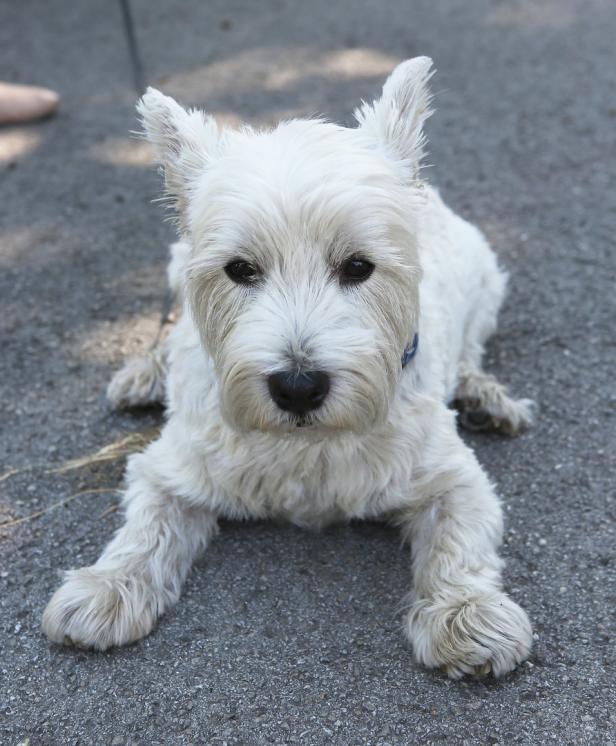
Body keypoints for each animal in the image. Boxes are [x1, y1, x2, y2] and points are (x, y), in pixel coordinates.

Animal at [42, 56, 536, 676]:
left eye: (358, 266)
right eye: (239, 268)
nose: (298, 388)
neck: (307, 446)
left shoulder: (453, 477)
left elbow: (460, 541)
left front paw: (467, 613)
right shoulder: (171, 468)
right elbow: (145, 528)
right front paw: (105, 587)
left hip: (485, 281)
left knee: (471, 350)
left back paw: (486, 396)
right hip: (176, 262)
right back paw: (145, 374)